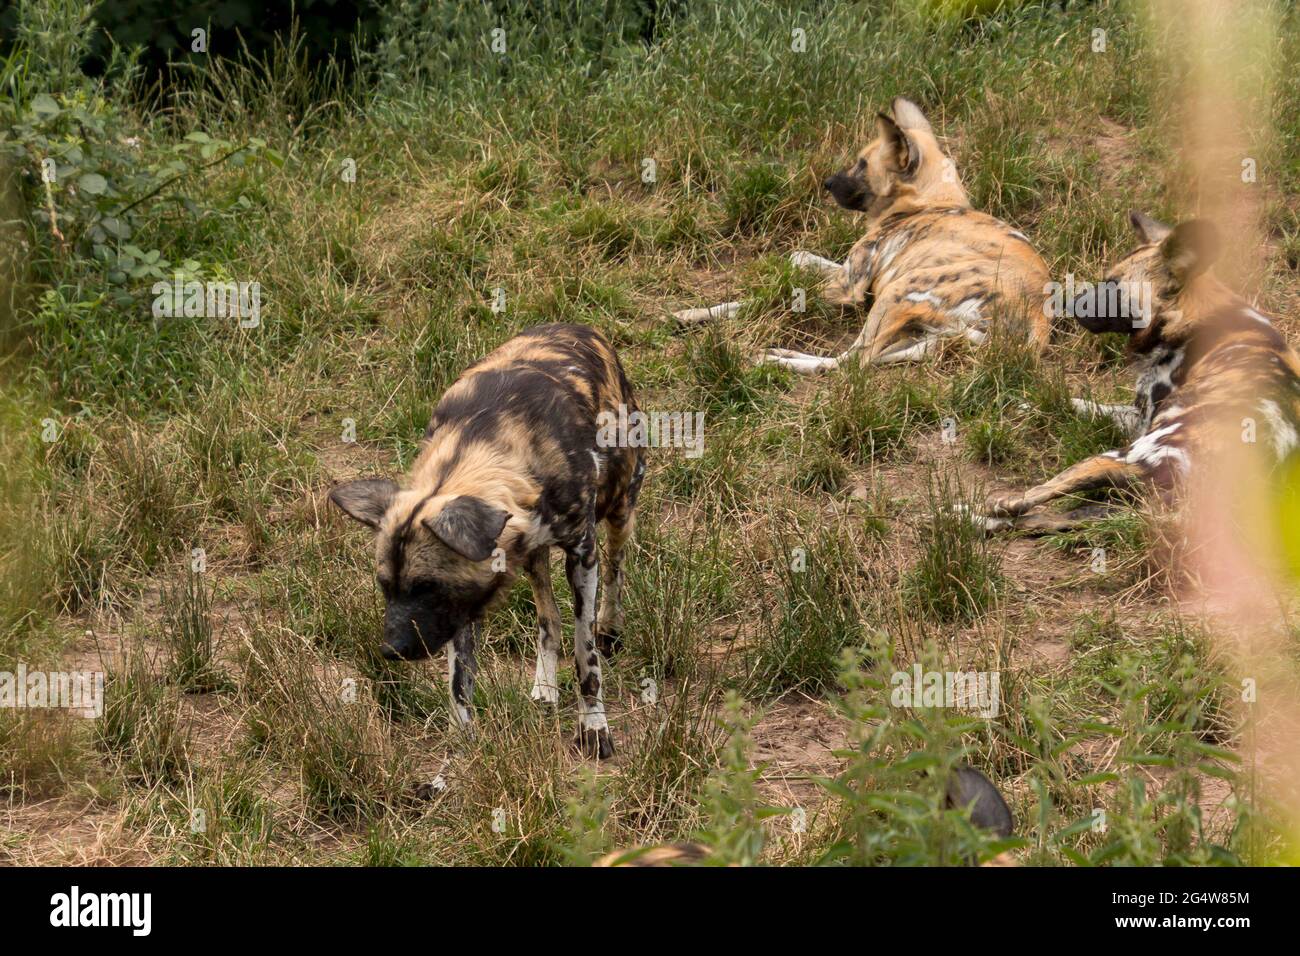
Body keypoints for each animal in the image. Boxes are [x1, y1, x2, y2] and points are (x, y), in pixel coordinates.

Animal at [330, 325, 644, 759]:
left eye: (426, 587)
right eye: (385, 587)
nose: (390, 651)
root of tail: (578, 327)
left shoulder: (582, 554)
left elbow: (586, 659)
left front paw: (594, 727)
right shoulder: (462, 603)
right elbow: (459, 682)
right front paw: (463, 750)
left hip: (619, 509)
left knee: (616, 569)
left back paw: (611, 626)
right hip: (533, 556)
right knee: (549, 618)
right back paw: (545, 686)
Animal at [676, 97, 1050, 371]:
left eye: (862, 164)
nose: (827, 183)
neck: (928, 201)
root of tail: (1039, 309)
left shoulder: (847, 289)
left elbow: (766, 299)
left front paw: (693, 314)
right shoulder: (850, 275)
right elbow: (798, 257)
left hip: (897, 295)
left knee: (851, 362)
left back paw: (777, 359)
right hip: (930, 334)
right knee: (873, 359)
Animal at [977, 212, 1300, 535]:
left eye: (1114, 285)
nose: (1067, 304)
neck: (1188, 317)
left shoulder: (1142, 422)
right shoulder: (1135, 416)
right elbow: (1081, 404)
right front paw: (1028, 404)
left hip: (1121, 457)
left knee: (1030, 497)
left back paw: (983, 509)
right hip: (1124, 505)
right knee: (1041, 520)